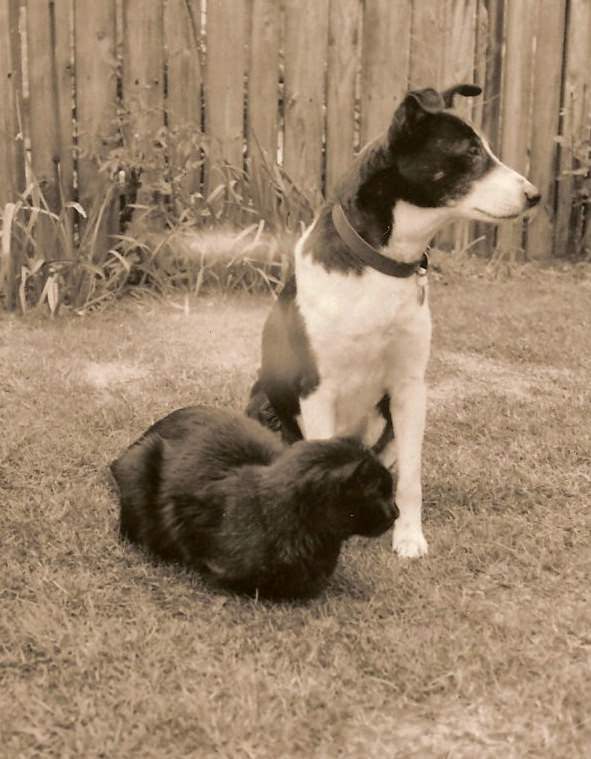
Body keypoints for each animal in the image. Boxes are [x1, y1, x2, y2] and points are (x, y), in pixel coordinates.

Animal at [245, 83, 540, 560]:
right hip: (262, 407)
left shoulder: (408, 389)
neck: (380, 264)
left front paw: (409, 536)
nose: (534, 195)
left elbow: (412, 479)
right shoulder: (317, 390)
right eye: (471, 152)